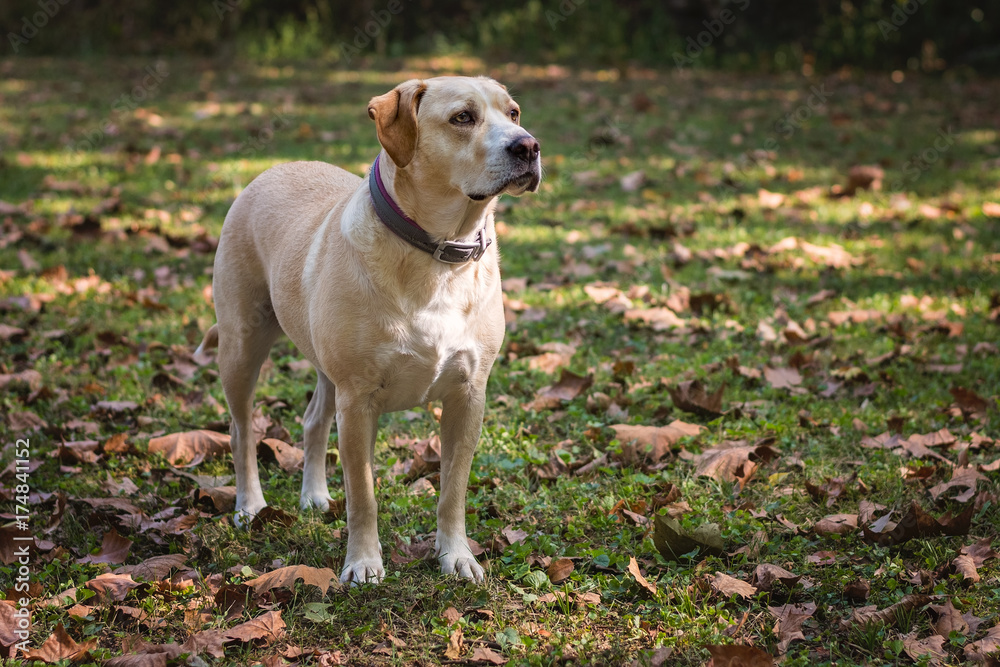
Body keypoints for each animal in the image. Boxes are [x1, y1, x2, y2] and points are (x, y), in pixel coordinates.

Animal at [196, 75, 540, 580]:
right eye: (463, 117)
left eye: (513, 113)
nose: (529, 146)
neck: (436, 256)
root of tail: (274, 169)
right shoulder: (357, 400)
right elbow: (363, 494)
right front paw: (362, 563)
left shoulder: (468, 395)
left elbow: (452, 491)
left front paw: (456, 555)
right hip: (242, 346)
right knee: (242, 432)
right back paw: (249, 505)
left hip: (324, 365)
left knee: (313, 419)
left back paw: (314, 494)